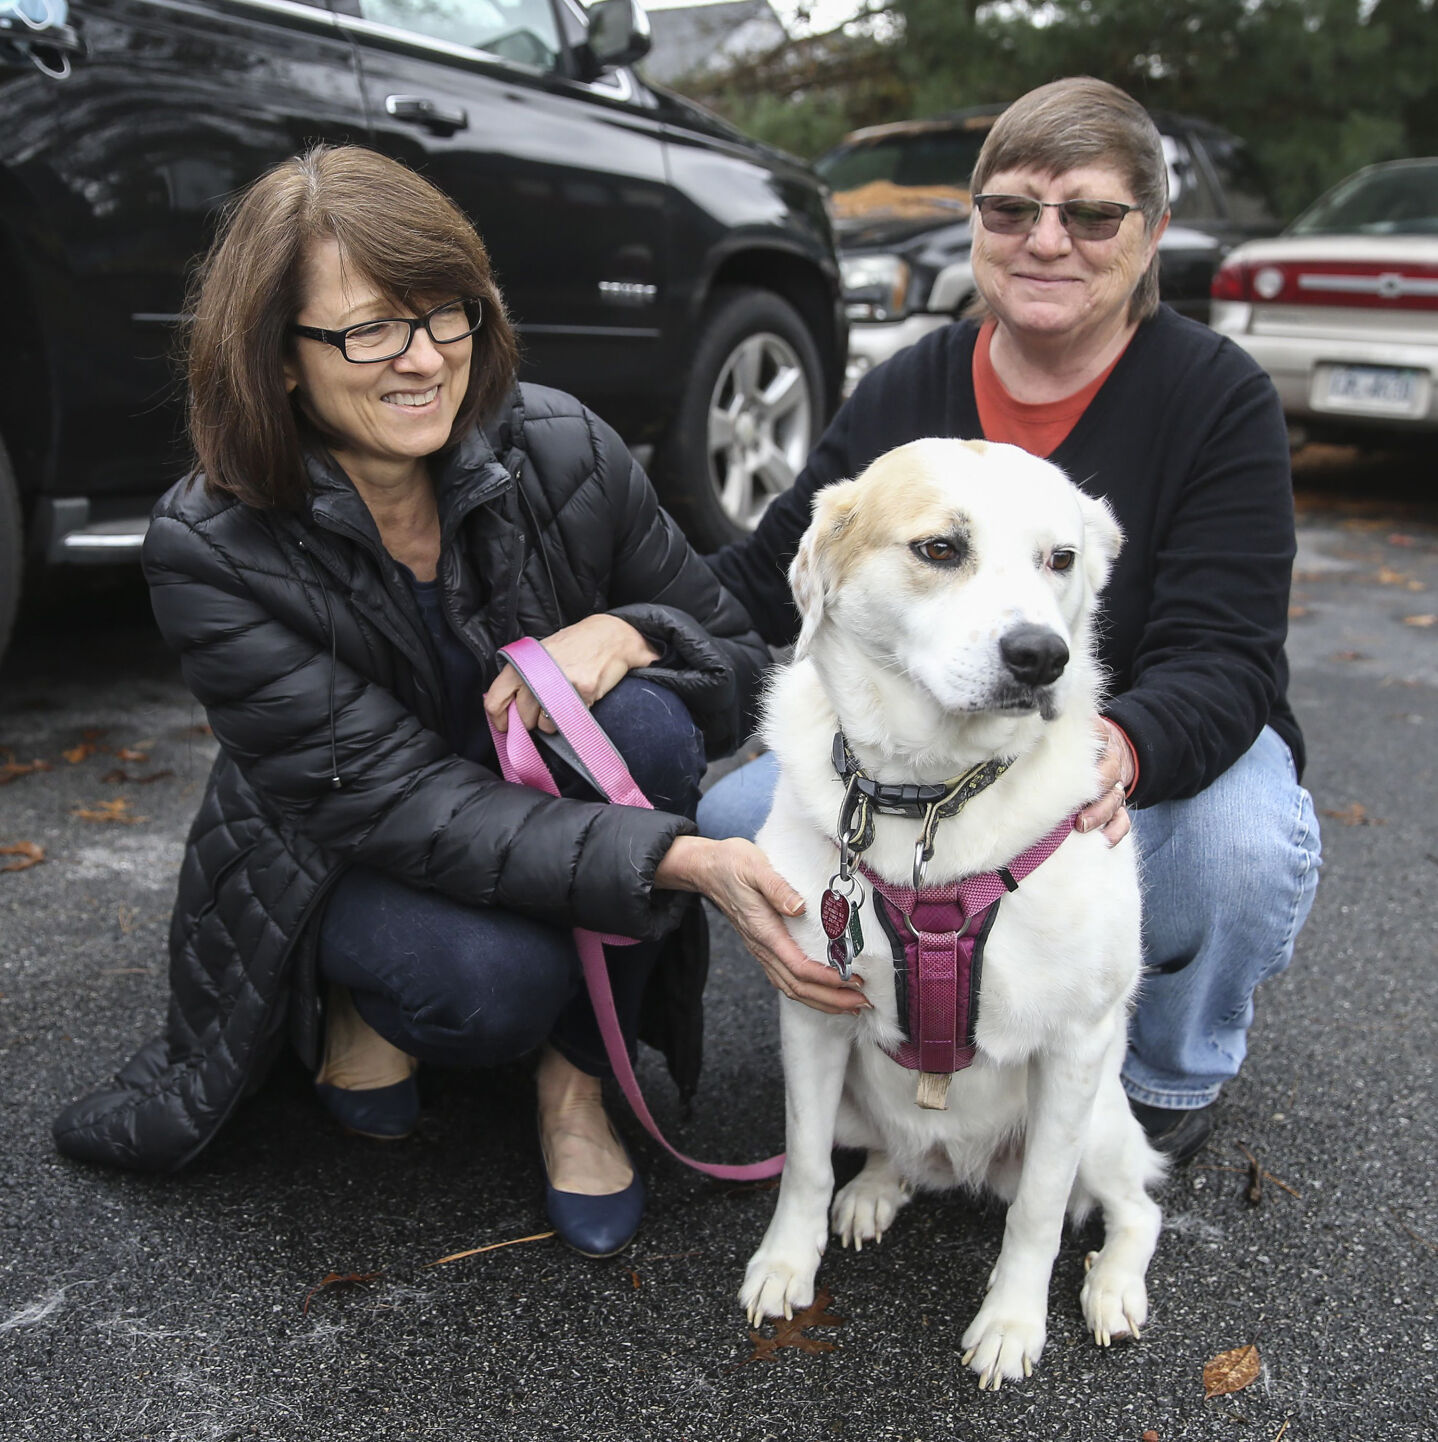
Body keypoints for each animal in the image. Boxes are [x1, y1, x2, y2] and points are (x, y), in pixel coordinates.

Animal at [744, 435, 1159, 1384]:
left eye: (1061, 560)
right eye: (940, 549)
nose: (1042, 655)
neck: (931, 798)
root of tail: (956, 1164)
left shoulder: (1076, 1045)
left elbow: (1039, 1212)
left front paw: (1011, 1323)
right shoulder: (812, 1014)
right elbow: (804, 1166)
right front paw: (785, 1264)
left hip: (1103, 1122)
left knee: (1134, 1208)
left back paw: (1115, 1286)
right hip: (863, 1101)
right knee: (888, 1155)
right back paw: (874, 1191)